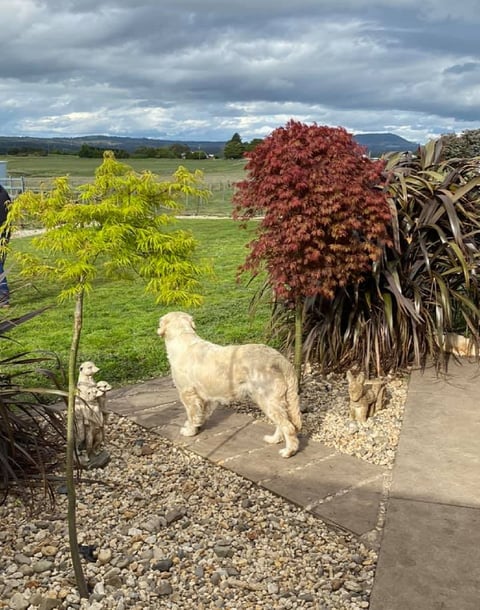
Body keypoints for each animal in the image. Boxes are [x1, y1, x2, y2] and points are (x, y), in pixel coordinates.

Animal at [158, 312, 302, 454]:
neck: (183, 337)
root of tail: (279, 358)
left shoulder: (187, 394)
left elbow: (192, 415)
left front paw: (189, 431)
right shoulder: (204, 397)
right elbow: (200, 414)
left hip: (267, 400)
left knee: (288, 427)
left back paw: (288, 451)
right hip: (275, 401)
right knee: (282, 424)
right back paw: (274, 439)